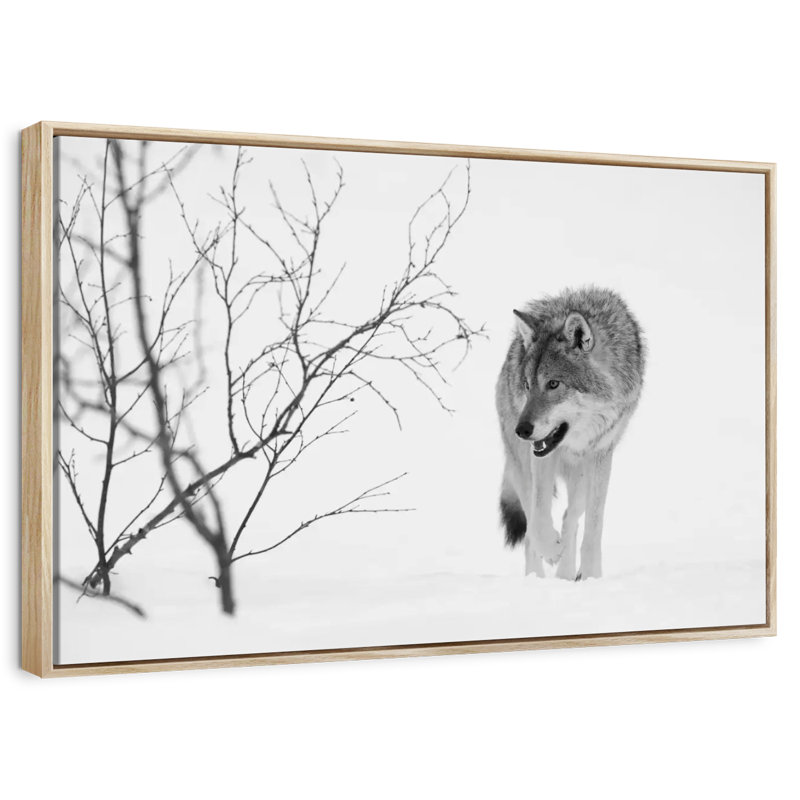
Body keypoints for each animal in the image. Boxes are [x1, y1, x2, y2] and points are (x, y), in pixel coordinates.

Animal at [495, 286, 645, 580]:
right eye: (527, 385)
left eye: (553, 384)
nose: (522, 430)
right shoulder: (540, 457)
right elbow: (539, 517)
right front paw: (551, 550)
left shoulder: (601, 455)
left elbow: (593, 528)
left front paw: (590, 576)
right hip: (521, 467)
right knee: (530, 532)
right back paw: (538, 576)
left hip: (583, 477)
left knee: (570, 518)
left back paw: (565, 574)